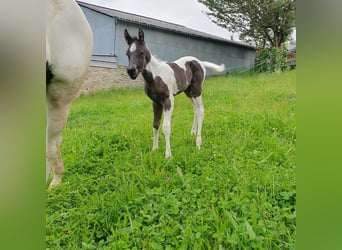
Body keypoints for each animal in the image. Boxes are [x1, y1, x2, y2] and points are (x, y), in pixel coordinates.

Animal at [124, 28, 226, 157]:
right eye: (127, 53)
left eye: (141, 52)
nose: (131, 71)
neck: (155, 76)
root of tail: (199, 62)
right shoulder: (155, 102)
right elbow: (155, 125)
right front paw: (154, 149)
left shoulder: (168, 100)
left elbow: (166, 126)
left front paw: (168, 154)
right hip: (188, 92)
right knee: (196, 110)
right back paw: (192, 133)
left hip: (197, 91)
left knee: (201, 111)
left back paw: (198, 143)